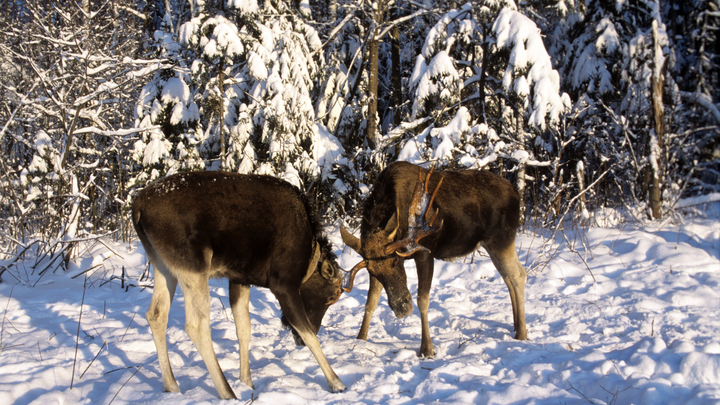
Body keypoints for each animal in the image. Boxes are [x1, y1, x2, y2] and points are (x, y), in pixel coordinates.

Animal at [131, 170, 362, 398]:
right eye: (331, 297)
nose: (299, 342)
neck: (309, 257)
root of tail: (138, 207)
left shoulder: (239, 279)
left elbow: (244, 329)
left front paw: (247, 381)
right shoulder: (283, 284)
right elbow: (309, 333)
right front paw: (336, 383)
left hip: (162, 265)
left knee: (156, 314)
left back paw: (172, 386)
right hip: (193, 266)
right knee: (195, 325)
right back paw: (227, 392)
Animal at [340, 161, 524, 356]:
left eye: (395, 260)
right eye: (372, 271)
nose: (401, 309)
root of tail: (516, 193)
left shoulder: (425, 251)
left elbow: (422, 300)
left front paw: (427, 349)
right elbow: (371, 301)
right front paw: (360, 338)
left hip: (501, 239)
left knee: (518, 274)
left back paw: (522, 332)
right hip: (490, 244)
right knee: (508, 278)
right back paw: (515, 325)